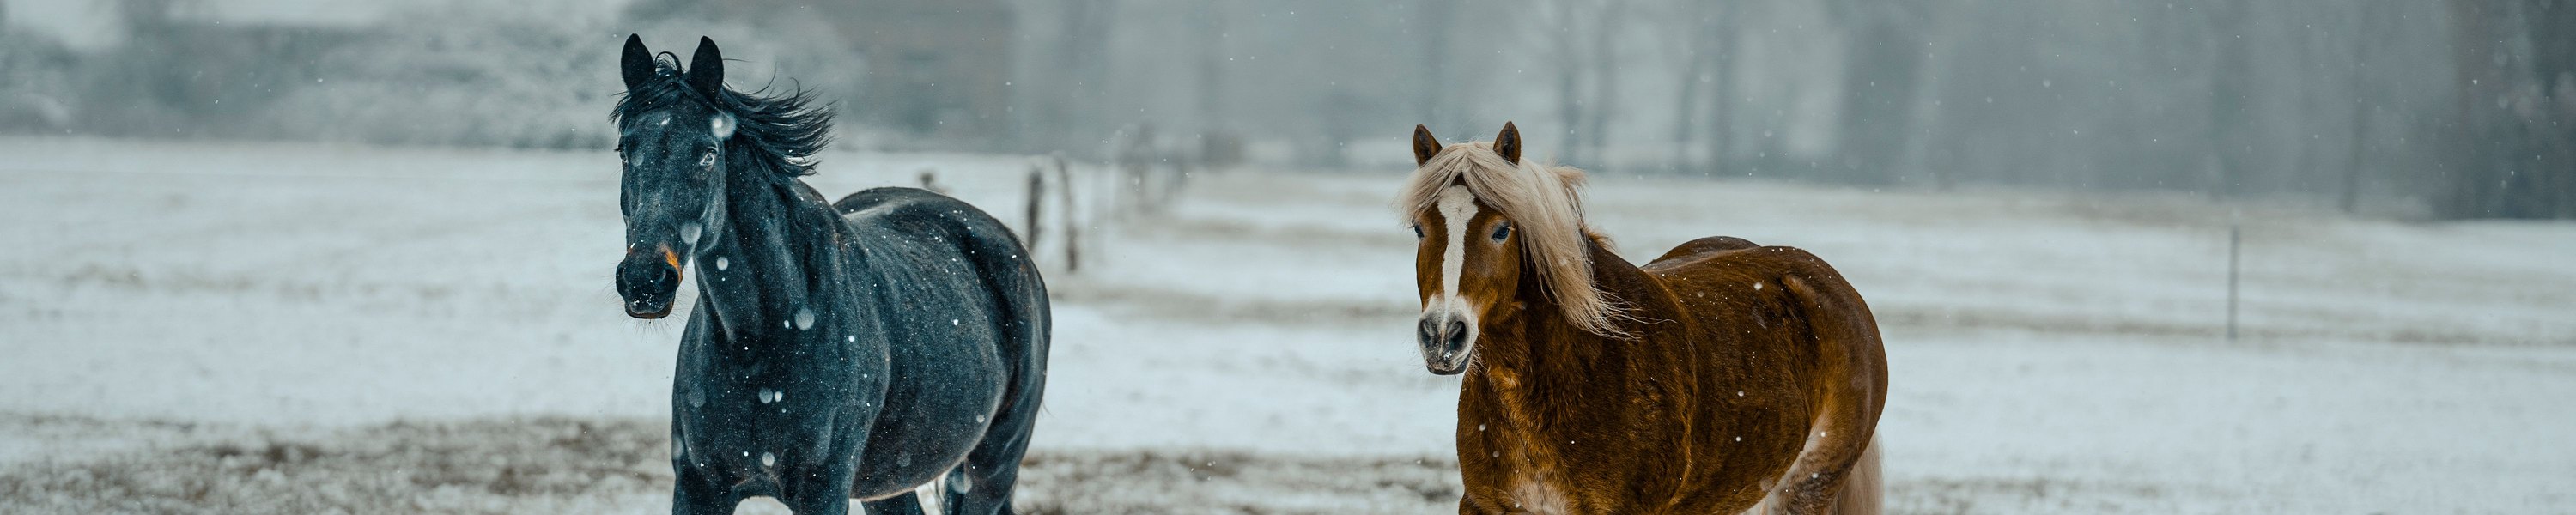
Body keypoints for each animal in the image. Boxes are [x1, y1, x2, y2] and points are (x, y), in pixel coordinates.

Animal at [609, 35, 1049, 515]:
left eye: (707, 154)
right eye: (625, 150)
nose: (645, 281)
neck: (756, 343)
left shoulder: (824, 488)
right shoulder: (698, 486)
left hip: (992, 467)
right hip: (889, 485)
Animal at [1398, 122, 1886, 515]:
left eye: (1501, 229)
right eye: (1420, 228)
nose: (1442, 335)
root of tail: (1831, 284)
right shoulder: (1487, 504)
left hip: (1805, 487)